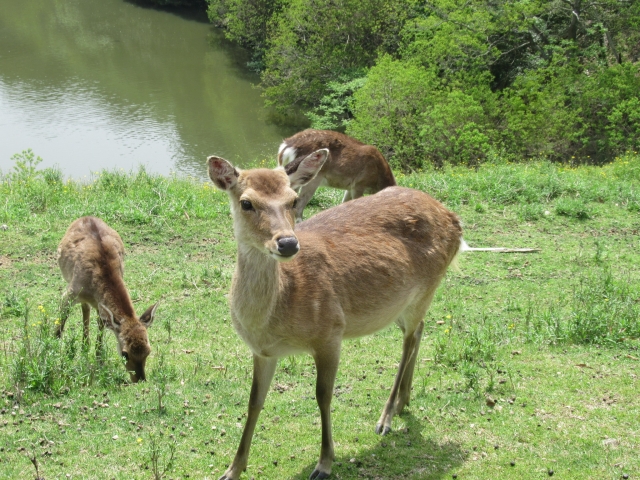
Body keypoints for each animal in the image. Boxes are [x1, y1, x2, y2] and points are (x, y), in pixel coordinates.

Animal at [56, 216, 158, 383]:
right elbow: (59, 327)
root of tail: (86, 217)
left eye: (148, 351)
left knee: (87, 310)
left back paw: (85, 347)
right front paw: (52, 353)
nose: (140, 379)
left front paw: (99, 361)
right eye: (125, 353)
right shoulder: (69, 293)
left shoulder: (101, 305)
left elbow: (101, 328)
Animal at [207, 148, 464, 480]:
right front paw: (233, 469)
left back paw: (386, 417)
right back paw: (403, 402)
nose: (287, 243)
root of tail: (455, 220)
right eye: (246, 202)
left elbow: (323, 395)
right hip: (401, 303)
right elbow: (254, 401)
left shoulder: (330, 332)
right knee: (419, 330)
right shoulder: (262, 352)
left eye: (293, 199)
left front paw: (325, 462)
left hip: (428, 286)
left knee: (408, 342)